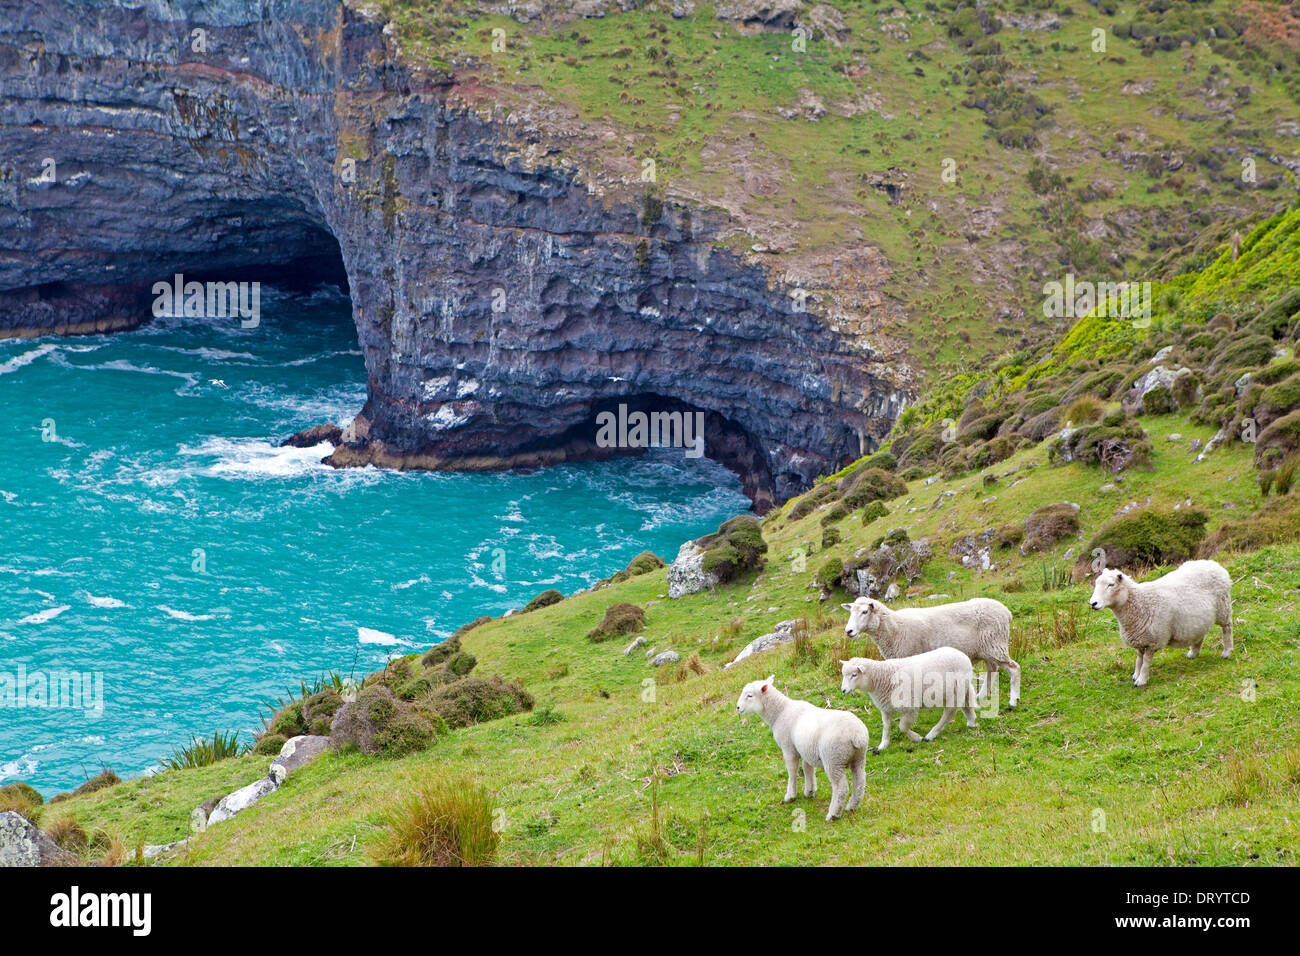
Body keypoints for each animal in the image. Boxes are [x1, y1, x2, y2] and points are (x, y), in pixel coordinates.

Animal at [738, 671, 868, 822]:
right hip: (859, 757)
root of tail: (857, 735)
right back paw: (852, 806)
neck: (779, 712)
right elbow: (807, 769)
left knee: (841, 787)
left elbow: (792, 771)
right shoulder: (806, 749)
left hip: (833, 758)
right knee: (860, 782)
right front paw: (809, 791)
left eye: (749, 695)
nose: (738, 707)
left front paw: (790, 796)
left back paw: (833, 814)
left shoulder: (788, 748)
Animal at [837, 598, 1019, 712]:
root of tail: (1007, 612)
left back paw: (1013, 699)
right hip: (987, 649)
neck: (894, 628)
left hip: (995, 644)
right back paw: (982, 695)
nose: (849, 631)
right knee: (992, 669)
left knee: (1014, 668)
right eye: (850, 612)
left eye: (865, 611)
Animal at [842, 650, 977, 754]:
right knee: (967, 703)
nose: (843, 690)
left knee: (949, 712)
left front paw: (916, 738)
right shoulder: (886, 708)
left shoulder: (910, 707)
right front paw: (883, 745)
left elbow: (902, 727)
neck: (883, 677)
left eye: (854, 675)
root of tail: (963, 655)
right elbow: (886, 727)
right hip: (962, 688)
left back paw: (931, 734)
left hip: (955, 691)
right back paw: (971, 721)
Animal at [1086, 561, 1227, 686]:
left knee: (1227, 628)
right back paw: (1194, 653)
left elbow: (1146, 662)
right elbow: (1139, 659)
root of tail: (1212, 563)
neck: (1140, 603)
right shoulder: (1139, 638)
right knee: (1200, 633)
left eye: (1111, 585)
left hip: (1223, 607)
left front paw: (1141, 680)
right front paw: (1136, 675)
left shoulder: (1154, 640)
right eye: (1096, 583)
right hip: (1200, 619)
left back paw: (1227, 652)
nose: (1093, 603)